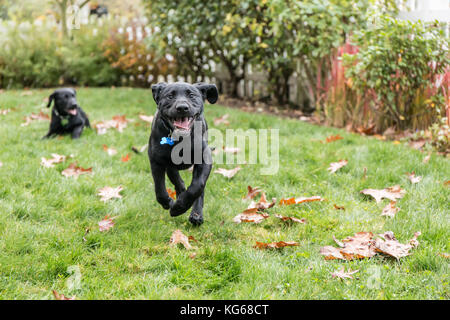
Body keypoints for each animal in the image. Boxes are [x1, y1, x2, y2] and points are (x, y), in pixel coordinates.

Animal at [149, 82, 218, 225]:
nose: (182, 107)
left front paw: (179, 207)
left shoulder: (204, 159)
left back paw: (196, 215)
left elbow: (197, 186)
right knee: (176, 179)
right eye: (170, 96)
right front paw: (168, 203)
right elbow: (160, 188)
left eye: (191, 95)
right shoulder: (156, 160)